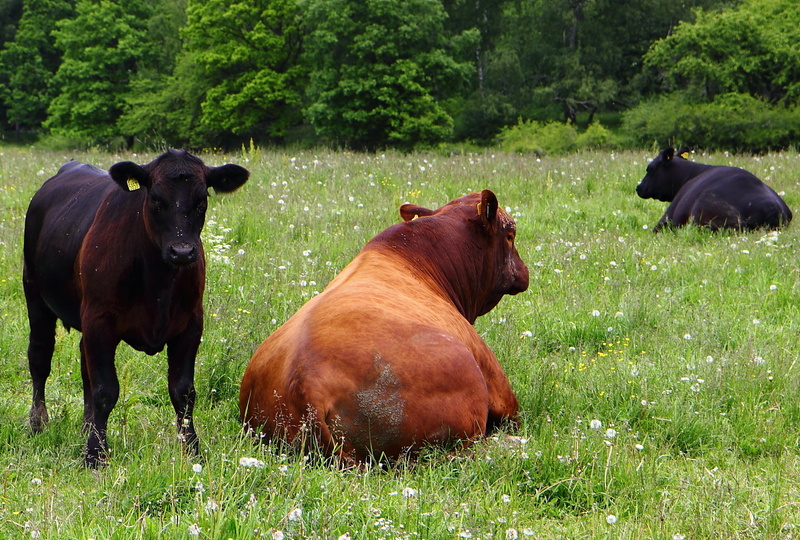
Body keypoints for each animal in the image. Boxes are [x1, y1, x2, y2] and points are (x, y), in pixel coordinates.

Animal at [23, 149, 249, 466]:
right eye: (154, 198)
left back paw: (86, 426)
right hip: (35, 293)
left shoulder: (191, 324)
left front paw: (192, 449)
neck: (158, 281)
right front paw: (95, 455)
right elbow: (105, 390)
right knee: (40, 357)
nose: (182, 251)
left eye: (202, 199)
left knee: (83, 366)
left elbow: (183, 391)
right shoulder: (100, 321)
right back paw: (38, 423)